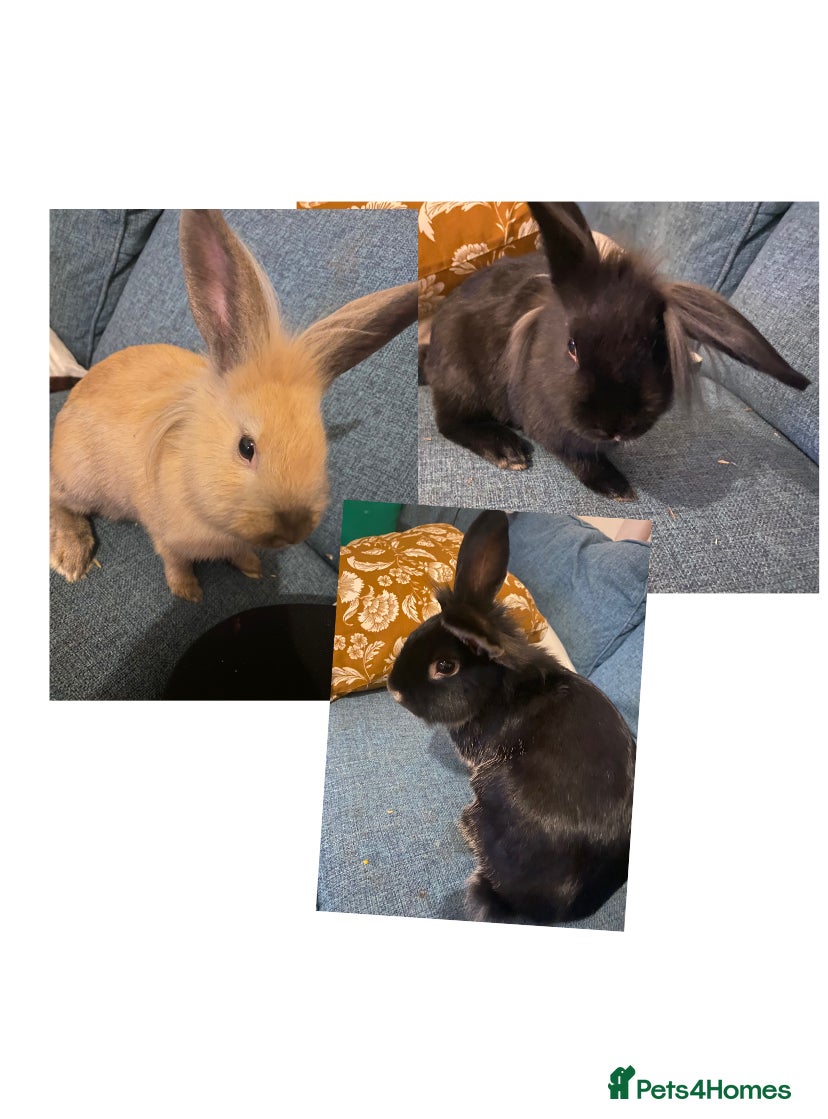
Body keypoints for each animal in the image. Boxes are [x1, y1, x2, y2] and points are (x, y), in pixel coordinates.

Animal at [50, 209, 418, 601]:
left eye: (322, 447)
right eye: (246, 447)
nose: (293, 529)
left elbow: (240, 552)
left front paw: (253, 568)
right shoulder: (167, 537)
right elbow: (175, 562)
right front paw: (188, 594)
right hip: (81, 479)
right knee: (56, 498)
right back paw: (72, 558)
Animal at [420, 202, 809, 499]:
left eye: (655, 346)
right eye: (572, 347)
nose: (616, 425)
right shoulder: (551, 425)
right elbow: (578, 456)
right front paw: (617, 487)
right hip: (462, 379)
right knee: (449, 422)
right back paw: (506, 450)